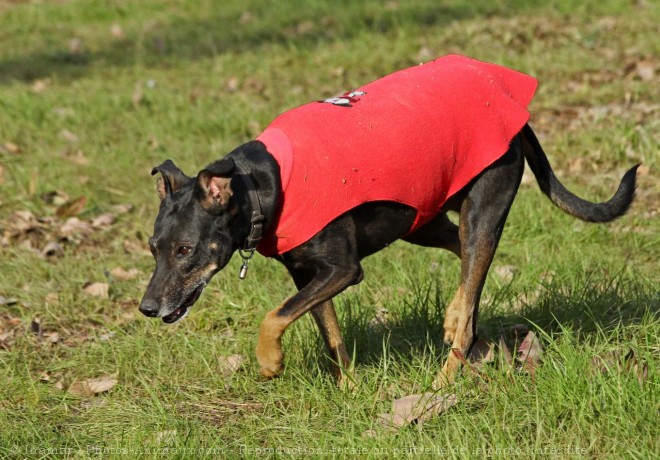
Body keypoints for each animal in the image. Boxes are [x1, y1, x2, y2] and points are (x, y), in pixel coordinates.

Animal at [139, 57, 640, 388]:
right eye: (153, 248)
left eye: (185, 249)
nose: (146, 308)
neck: (265, 183)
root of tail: (517, 116)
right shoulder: (308, 274)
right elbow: (330, 337)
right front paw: (349, 393)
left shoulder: (341, 269)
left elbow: (272, 316)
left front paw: (269, 362)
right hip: (425, 220)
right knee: (467, 275)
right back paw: (456, 316)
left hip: (483, 206)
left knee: (471, 291)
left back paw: (442, 383)